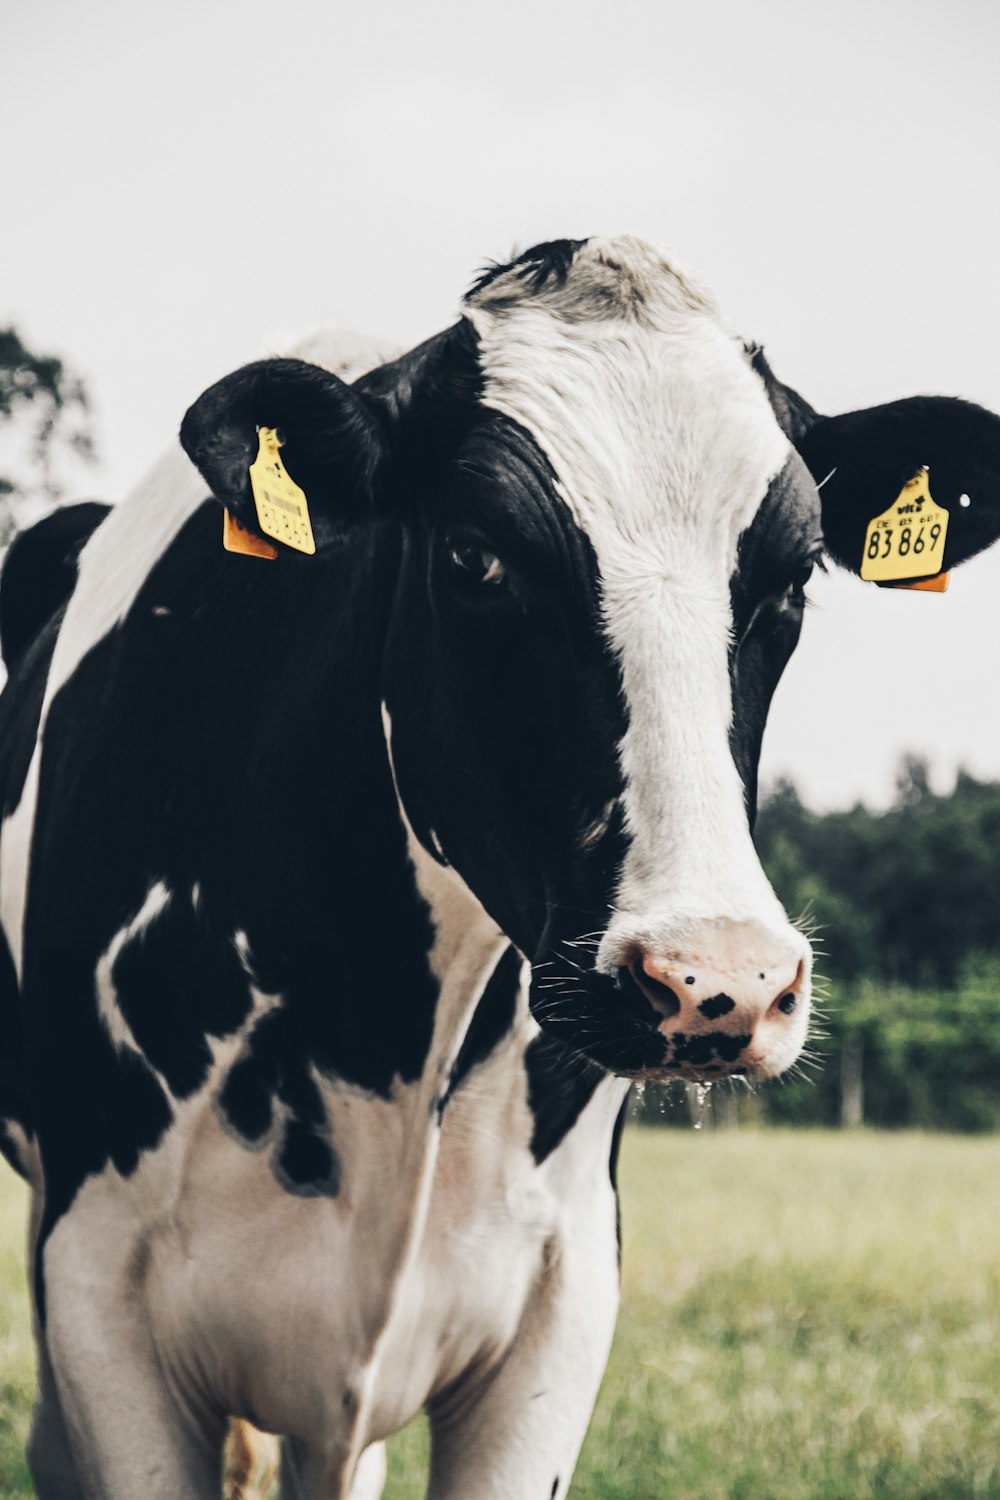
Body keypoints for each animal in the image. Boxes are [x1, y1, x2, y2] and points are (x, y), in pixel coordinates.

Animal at [0, 237, 995, 1500]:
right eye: (475, 558)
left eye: (793, 581)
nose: (720, 983)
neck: (379, 1045)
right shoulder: (97, 1289)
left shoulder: (560, 1298)